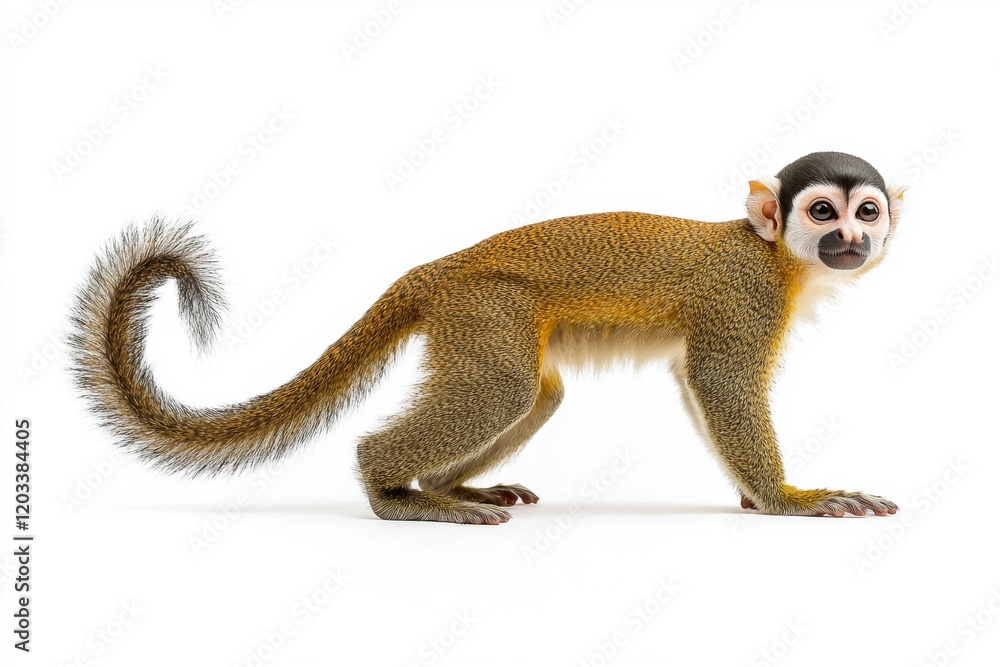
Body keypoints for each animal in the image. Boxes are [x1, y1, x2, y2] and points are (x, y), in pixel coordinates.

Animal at [69, 151, 904, 524]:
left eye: (867, 212)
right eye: (823, 213)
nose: (853, 242)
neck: (775, 256)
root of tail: (440, 268)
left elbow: (696, 384)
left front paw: (755, 498)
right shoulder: (745, 296)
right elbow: (722, 381)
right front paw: (790, 498)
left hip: (477, 314)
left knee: (534, 395)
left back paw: (444, 486)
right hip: (485, 305)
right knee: (505, 389)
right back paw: (392, 490)